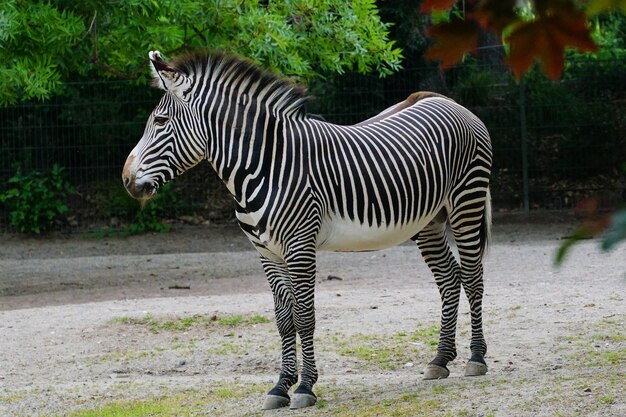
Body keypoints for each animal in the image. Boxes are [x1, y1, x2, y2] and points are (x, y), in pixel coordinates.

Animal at [122, 49, 492, 410]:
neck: (264, 166)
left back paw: (476, 358)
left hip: (466, 202)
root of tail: (443, 100)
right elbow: (284, 319)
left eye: (160, 121)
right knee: (449, 280)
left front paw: (304, 387)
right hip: (430, 221)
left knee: (472, 278)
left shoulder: (300, 246)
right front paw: (280, 386)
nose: (126, 180)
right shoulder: (267, 253)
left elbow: (304, 317)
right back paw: (440, 359)